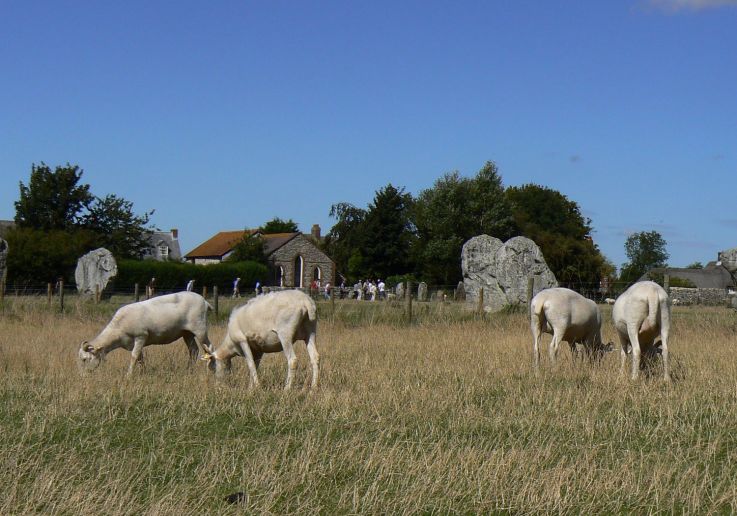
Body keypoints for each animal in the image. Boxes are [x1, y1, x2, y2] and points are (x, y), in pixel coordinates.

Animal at [78, 292, 213, 375]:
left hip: (200, 328)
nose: (82, 376)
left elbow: (134, 356)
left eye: (85, 359)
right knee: (193, 350)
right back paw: (189, 370)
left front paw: (129, 375)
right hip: (187, 333)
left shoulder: (141, 336)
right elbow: (139, 358)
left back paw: (210, 370)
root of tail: (205, 301)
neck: (117, 330)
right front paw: (143, 372)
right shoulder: (132, 343)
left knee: (209, 348)